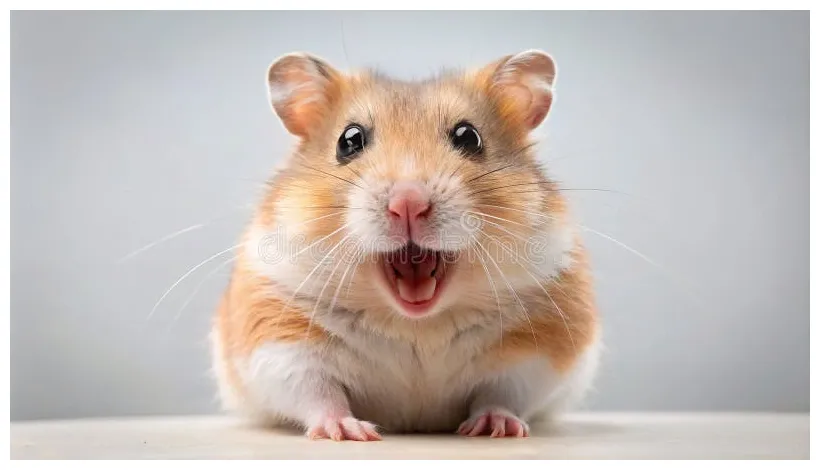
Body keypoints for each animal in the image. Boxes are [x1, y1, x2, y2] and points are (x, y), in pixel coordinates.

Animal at [211, 50, 600, 441]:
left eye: (469, 137)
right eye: (349, 140)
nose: (408, 202)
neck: (416, 324)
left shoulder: (538, 350)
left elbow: (503, 392)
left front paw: (496, 428)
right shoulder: (279, 336)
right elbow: (316, 391)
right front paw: (351, 432)